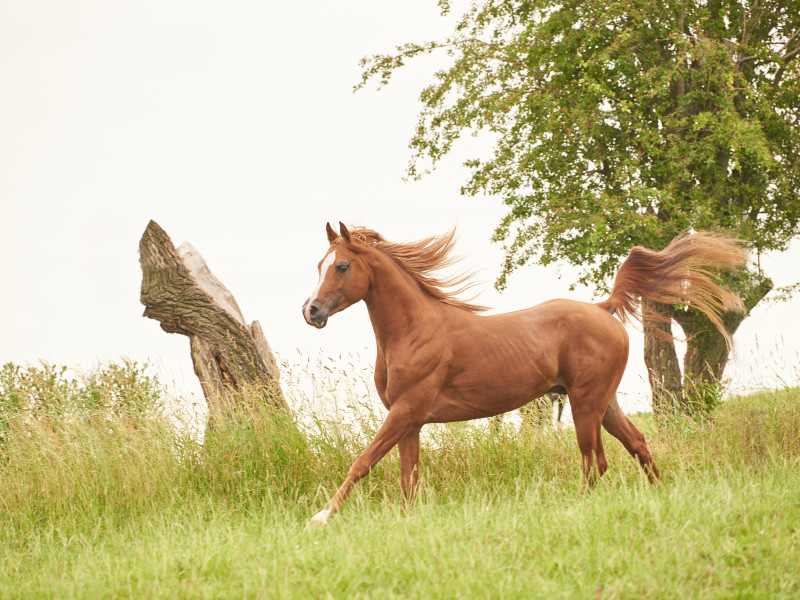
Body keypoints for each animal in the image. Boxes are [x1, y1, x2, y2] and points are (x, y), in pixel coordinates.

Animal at [300, 221, 744, 524]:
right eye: (319, 265)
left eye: (342, 266)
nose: (311, 311)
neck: (414, 330)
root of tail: (603, 308)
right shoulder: (410, 421)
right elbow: (409, 478)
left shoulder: (406, 411)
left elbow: (363, 461)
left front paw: (320, 518)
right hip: (603, 403)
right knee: (636, 443)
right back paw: (662, 496)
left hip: (585, 405)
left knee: (594, 462)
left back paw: (575, 509)